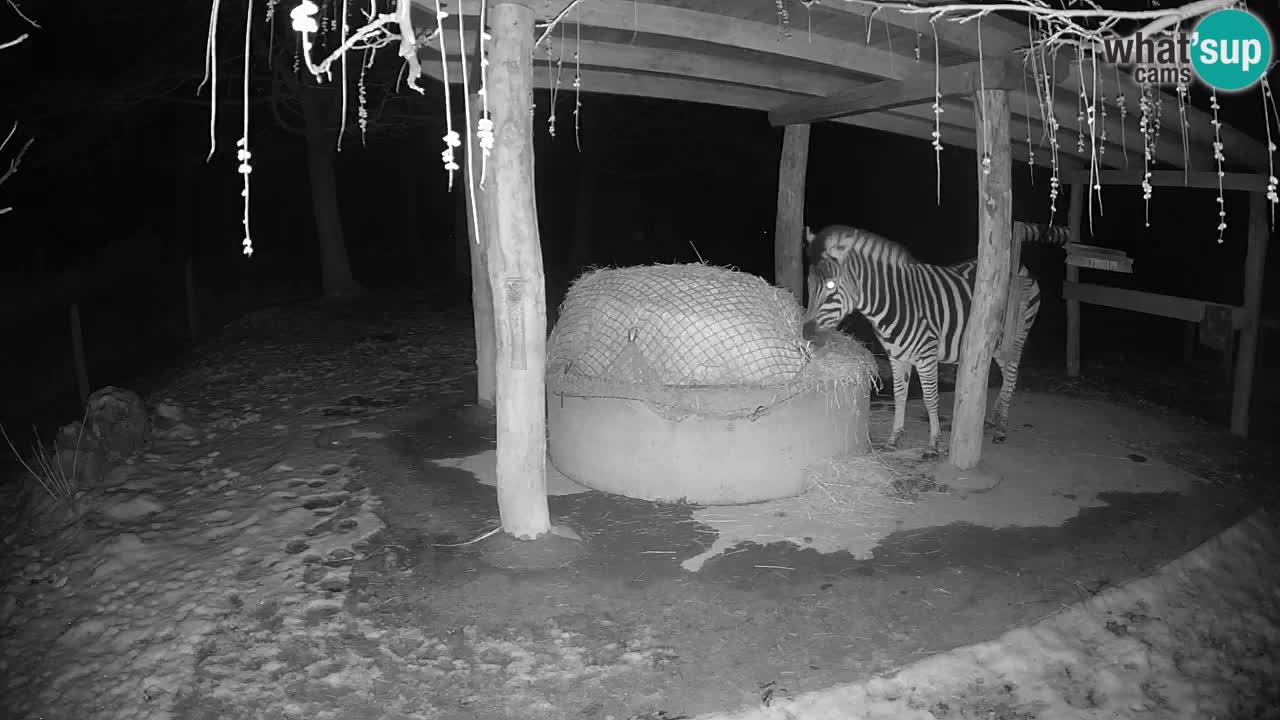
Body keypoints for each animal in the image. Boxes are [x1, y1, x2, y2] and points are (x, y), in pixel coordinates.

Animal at [803, 219, 1064, 456]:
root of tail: (1018, 265)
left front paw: (933, 444)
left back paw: (1000, 427)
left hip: (1016, 334)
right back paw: (992, 419)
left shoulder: (926, 356)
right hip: (995, 343)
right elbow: (899, 395)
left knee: (1011, 375)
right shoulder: (897, 356)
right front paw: (894, 438)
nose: (805, 332)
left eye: (830, 285)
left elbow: (930, 399)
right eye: (809, 283)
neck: (895, 303)